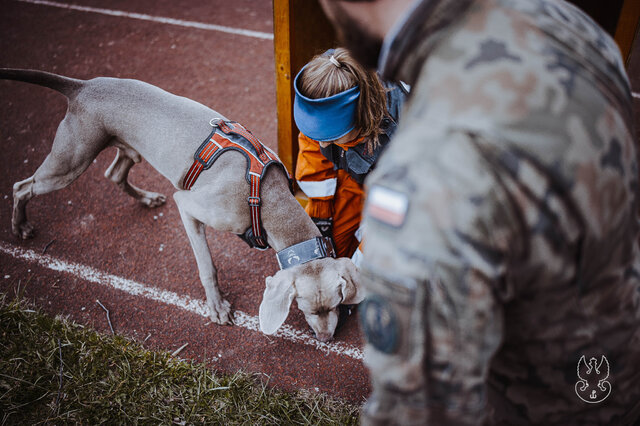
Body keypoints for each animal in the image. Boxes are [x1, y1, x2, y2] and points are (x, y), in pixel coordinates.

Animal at [0, 70, 362, 342]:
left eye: (336, 305)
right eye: (307, 310)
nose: (327, 339)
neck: (267, 197)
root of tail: (82, 86)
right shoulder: (189, 207)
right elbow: (207, 266)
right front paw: (217, 307)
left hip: (127, 148)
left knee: (114, 173)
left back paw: (146, 198)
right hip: (69, 163)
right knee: (22, 187)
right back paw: (20, 226)